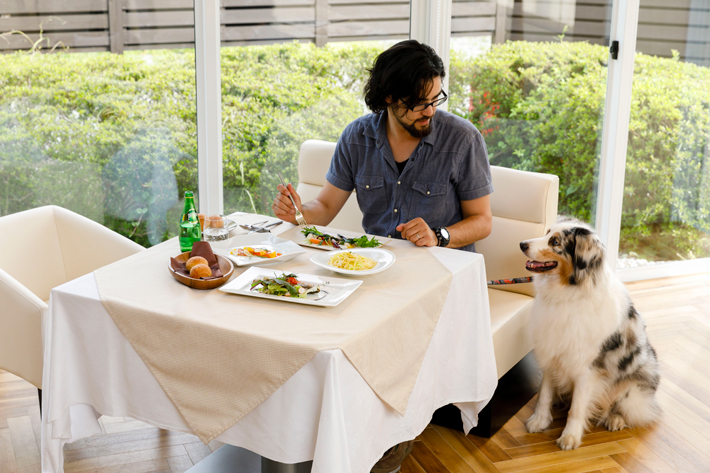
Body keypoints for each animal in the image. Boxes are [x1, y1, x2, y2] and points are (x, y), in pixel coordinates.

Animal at [520, 218, 664, 450]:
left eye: (556, 242)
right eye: (547, 232)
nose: (522, 244)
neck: (568, 294)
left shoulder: (586, 368)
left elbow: (577, 408)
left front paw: (569, 437)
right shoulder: (552, 350)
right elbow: (544, 394)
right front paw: (539, 421)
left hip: (634, 392)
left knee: (630, 410)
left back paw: (615, 419)